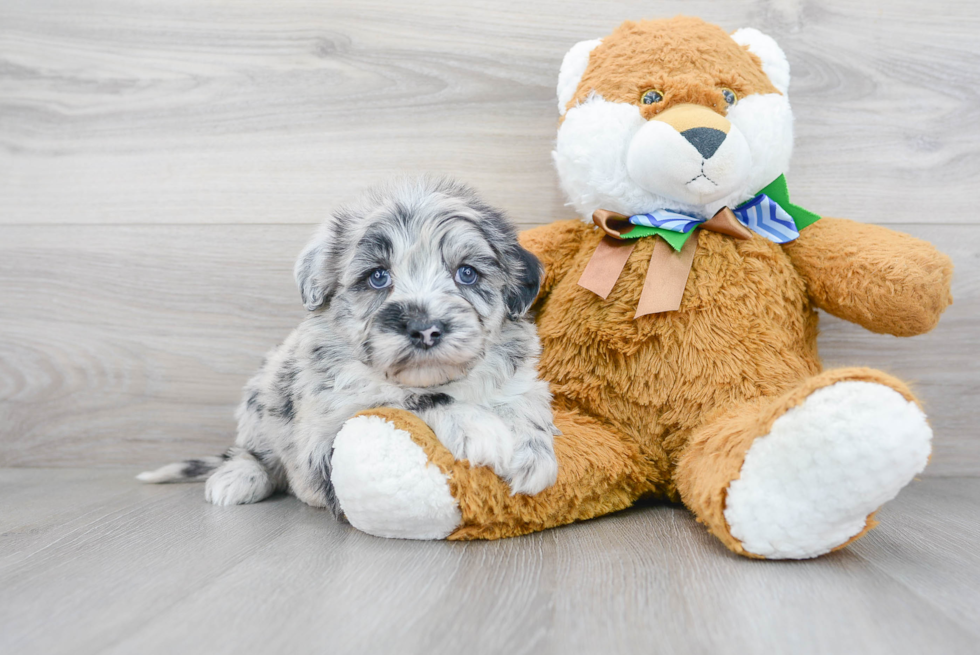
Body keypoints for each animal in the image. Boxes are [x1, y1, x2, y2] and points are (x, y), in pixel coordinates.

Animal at [143, 178, 564, 512]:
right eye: (377, 276)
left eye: (467, 273)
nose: (425, 329)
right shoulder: (328, 435)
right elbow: (404, 398)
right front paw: (476, 426)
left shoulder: (522, 383)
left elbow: (525, 405)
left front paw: (532, 451)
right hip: (261, 397)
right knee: (252, 452)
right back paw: (238, 477)